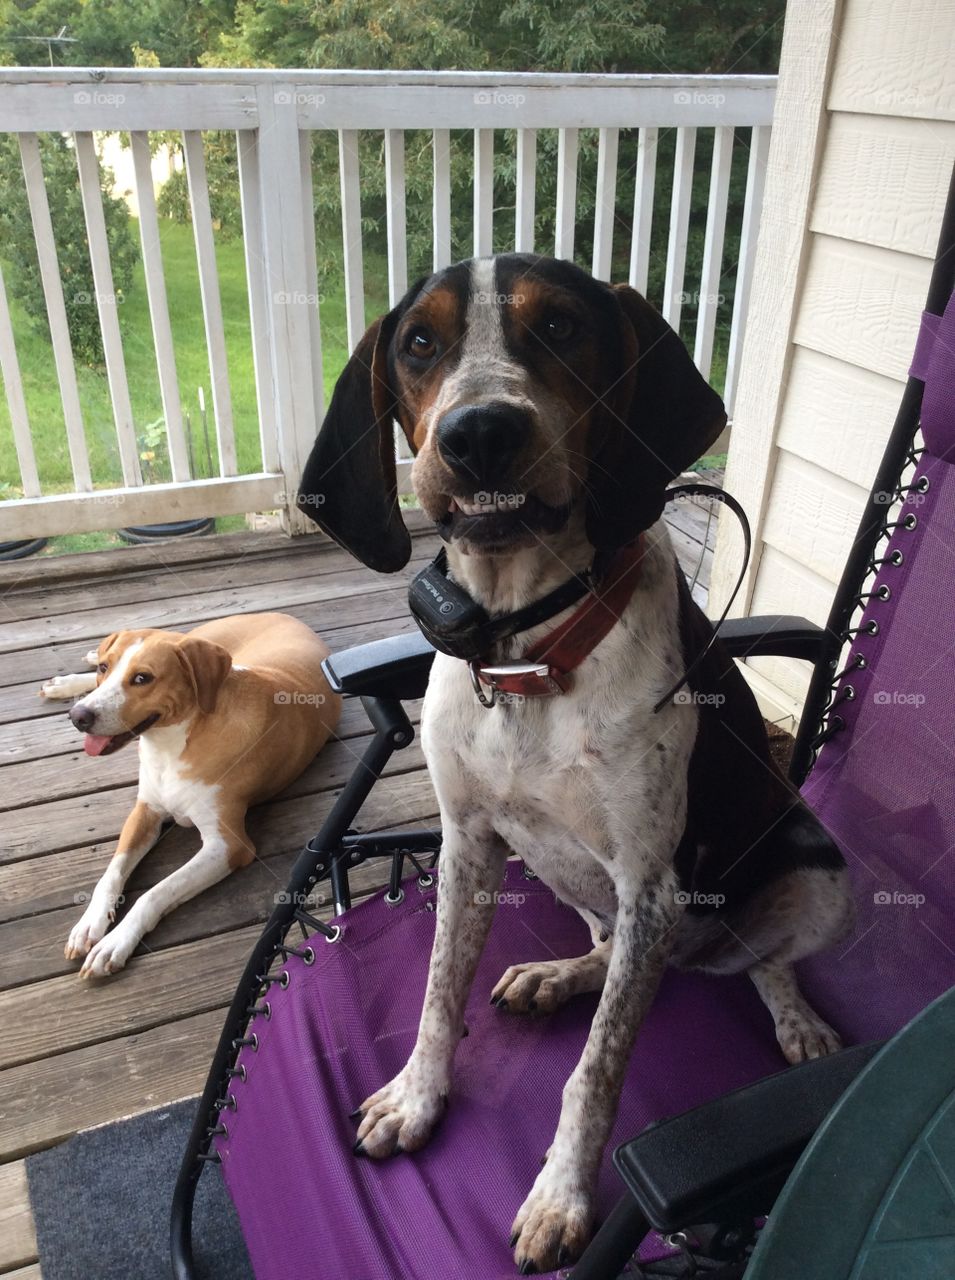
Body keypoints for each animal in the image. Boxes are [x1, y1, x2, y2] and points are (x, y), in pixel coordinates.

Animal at [41, 609, 337, 977]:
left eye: (143, 678)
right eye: (106, 669)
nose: (78, 716)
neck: (172, 744)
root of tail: (278, 613)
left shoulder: (227, 846)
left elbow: (156, 892)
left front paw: (115, 942)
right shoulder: (146, 811)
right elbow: (111, 874)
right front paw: (89, 923)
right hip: (204, 635)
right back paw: (70, 676)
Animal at [294, 254, 850, 1274]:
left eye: (558, 326)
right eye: (419, 343)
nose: (479, 433)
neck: (526, 654)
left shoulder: (648, 881)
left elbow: (594, 1072)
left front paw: (560, 1195)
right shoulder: (468, 843)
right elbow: (437, 994)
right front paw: (415, 1098)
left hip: (815, 873)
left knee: (758, 963)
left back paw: (795, 1021)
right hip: (580, 883)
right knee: (618, 955)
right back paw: (557, 977)